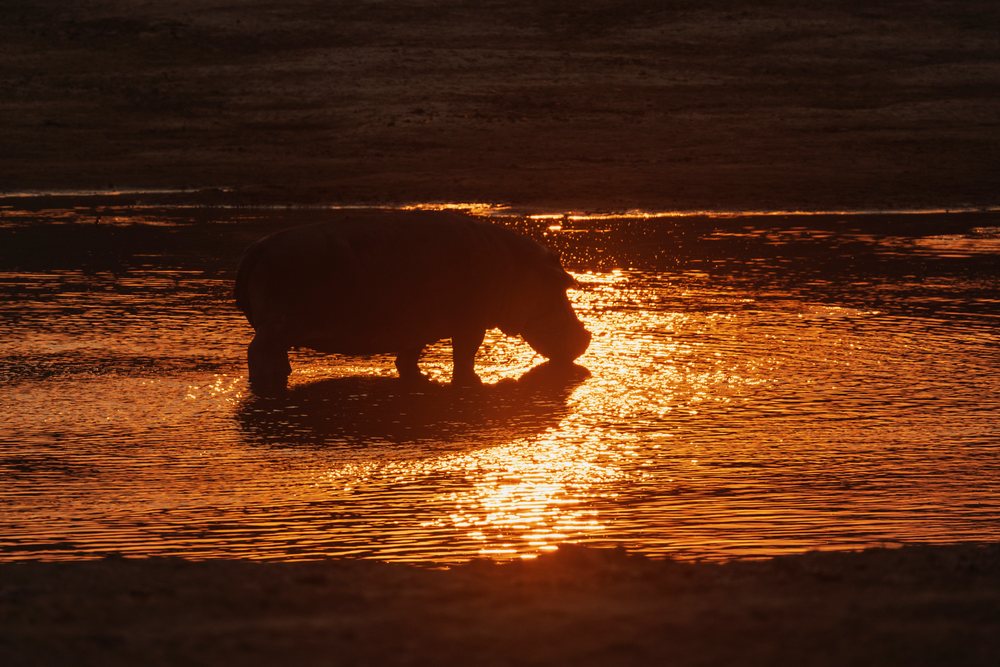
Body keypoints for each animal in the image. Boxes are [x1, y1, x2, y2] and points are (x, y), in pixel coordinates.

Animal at [234, 214, 590, 392]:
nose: (586, 337)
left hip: (278, 330)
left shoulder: (415, 330)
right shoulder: (471, 325)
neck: (520, 267)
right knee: (257, 352)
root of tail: (258, 247)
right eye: (563, 285)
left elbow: (408, 359)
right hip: (275, 327)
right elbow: (465, 356)